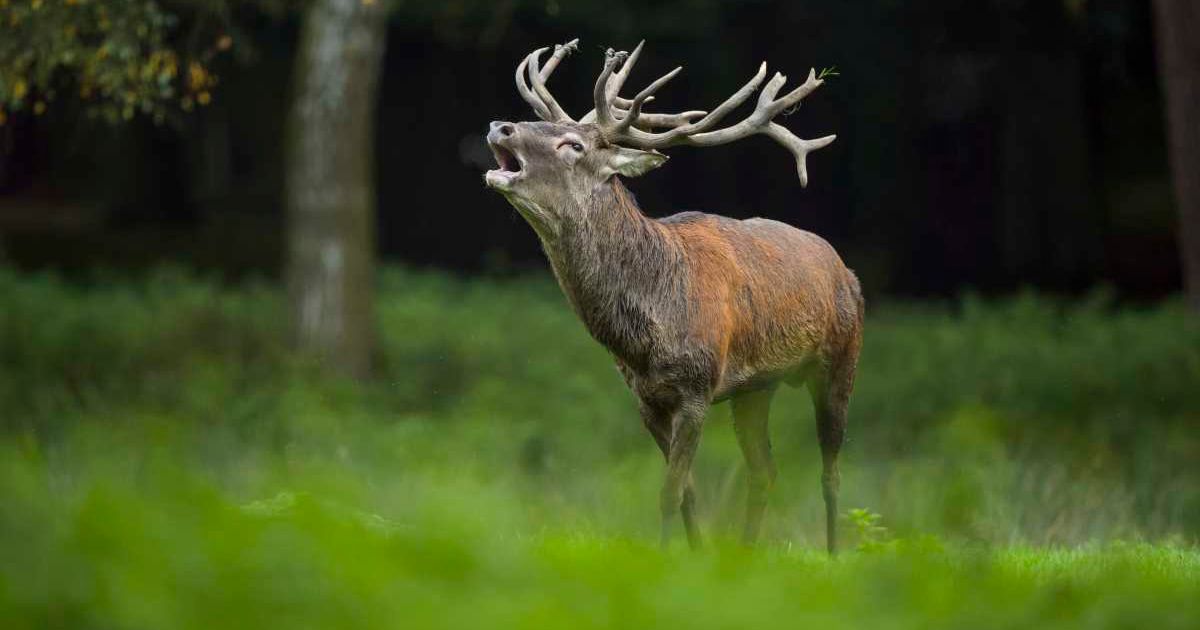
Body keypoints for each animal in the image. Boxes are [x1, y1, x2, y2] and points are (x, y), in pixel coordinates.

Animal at [482, 38, 863, 553]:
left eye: (573, 145)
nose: (500, 125)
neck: (647, 334)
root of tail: (846, 271)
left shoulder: (697, 387)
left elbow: (668, 492)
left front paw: (666, 558)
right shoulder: (648, 399)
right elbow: (686, 492)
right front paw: (696, 555)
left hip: (841, 358)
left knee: (831, 473)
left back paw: (833, 553)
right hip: (756, 388)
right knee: (764, 470)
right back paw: (745, 553)